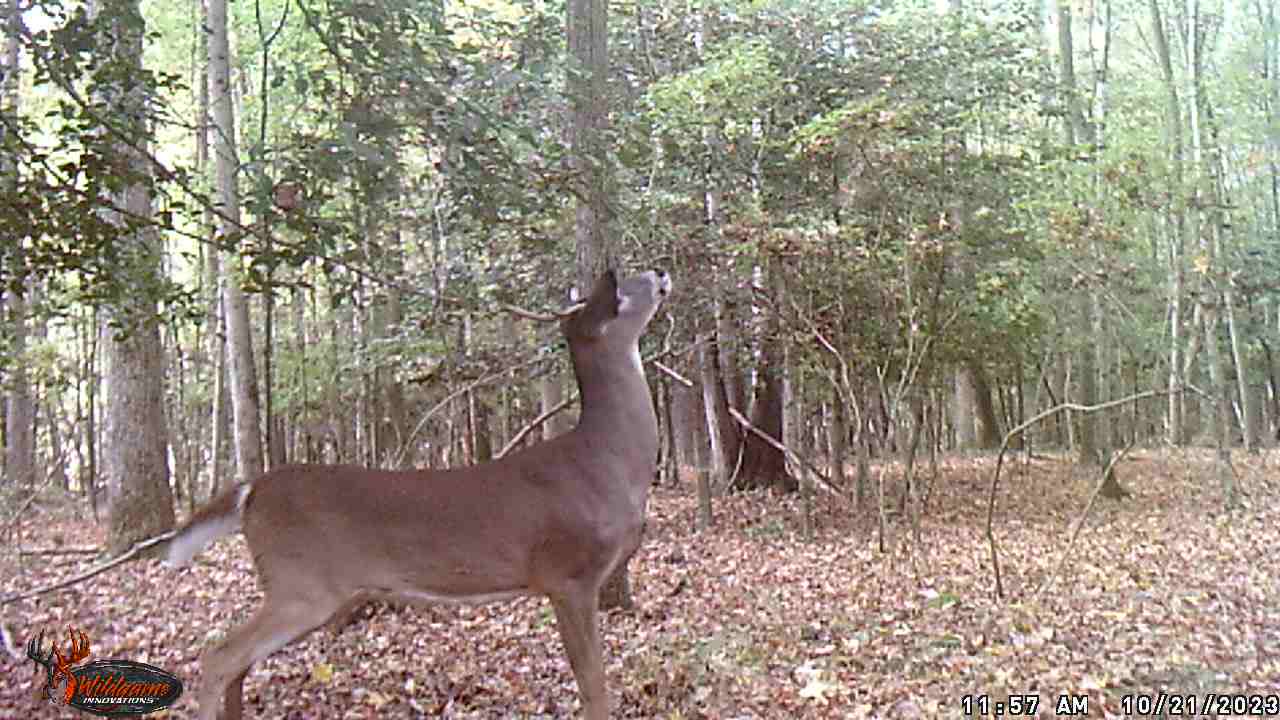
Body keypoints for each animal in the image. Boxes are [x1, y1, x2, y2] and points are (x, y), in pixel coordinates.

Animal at [165, 269, 675, 717]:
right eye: (623, 291)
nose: (661, 272)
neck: (605, 461)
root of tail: (251, 490)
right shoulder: (567, 573)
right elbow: (593, 686)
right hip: (301, 582)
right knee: (218, 658)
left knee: (238, 664)